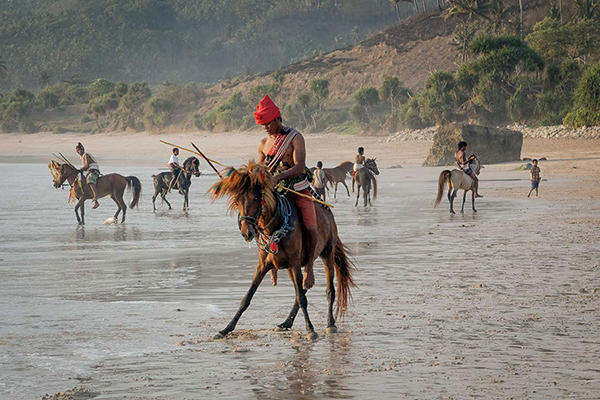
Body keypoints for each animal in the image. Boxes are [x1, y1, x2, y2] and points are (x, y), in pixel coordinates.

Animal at [210, 161, 356, 340]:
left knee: (329, 291)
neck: (275, 226)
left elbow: (302, 298)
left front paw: (310, 329)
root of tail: (328, 213)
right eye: (237, 200)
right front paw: (226, 329)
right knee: (302, 290)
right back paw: (286, 322)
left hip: (327, 253)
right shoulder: (263, 266)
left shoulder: (295, 263)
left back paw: (330, 323)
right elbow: (247, 298)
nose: (247, 232)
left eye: (256, 198)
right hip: (290, 268)